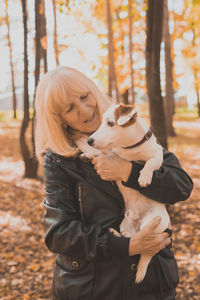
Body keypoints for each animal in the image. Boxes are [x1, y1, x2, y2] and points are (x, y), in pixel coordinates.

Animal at [76, 103, 170, 284]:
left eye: (111, 123)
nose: (90, 140)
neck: (129, 149)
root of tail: (136, 223)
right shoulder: (110, 153)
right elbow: (100, 153)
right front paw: (87, 153)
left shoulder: (157, 154)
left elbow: (151, 162)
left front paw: (144, 176)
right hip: (124, 223)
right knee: (131, 238)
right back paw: (117, 233)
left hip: (154, 221)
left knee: (143, 244)